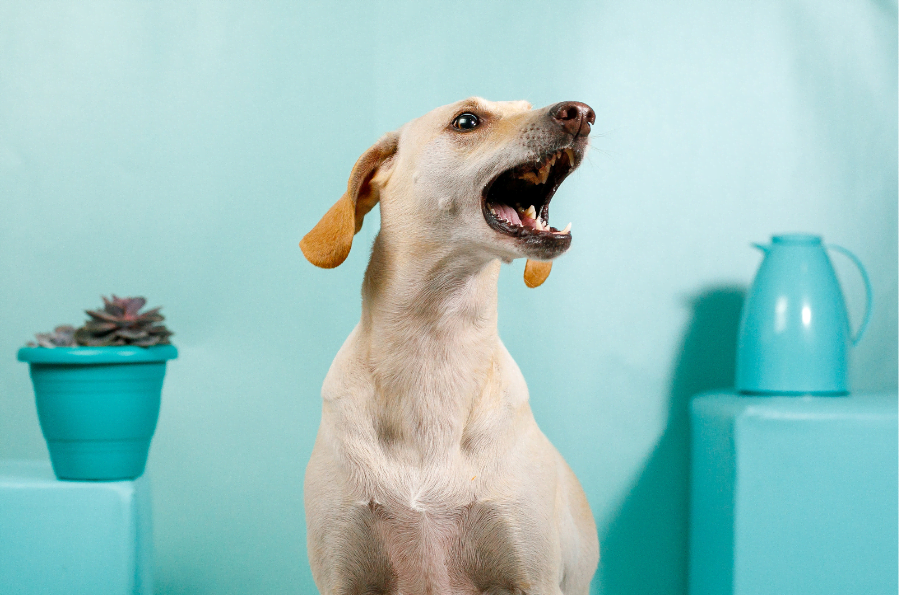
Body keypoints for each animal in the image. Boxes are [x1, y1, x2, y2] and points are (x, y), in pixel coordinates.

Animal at [300, 99, 596, 595]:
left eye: (524, 105)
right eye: (467, 121)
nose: (582, 113)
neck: (435, 345)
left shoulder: (531, 574)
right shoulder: (341, 575)